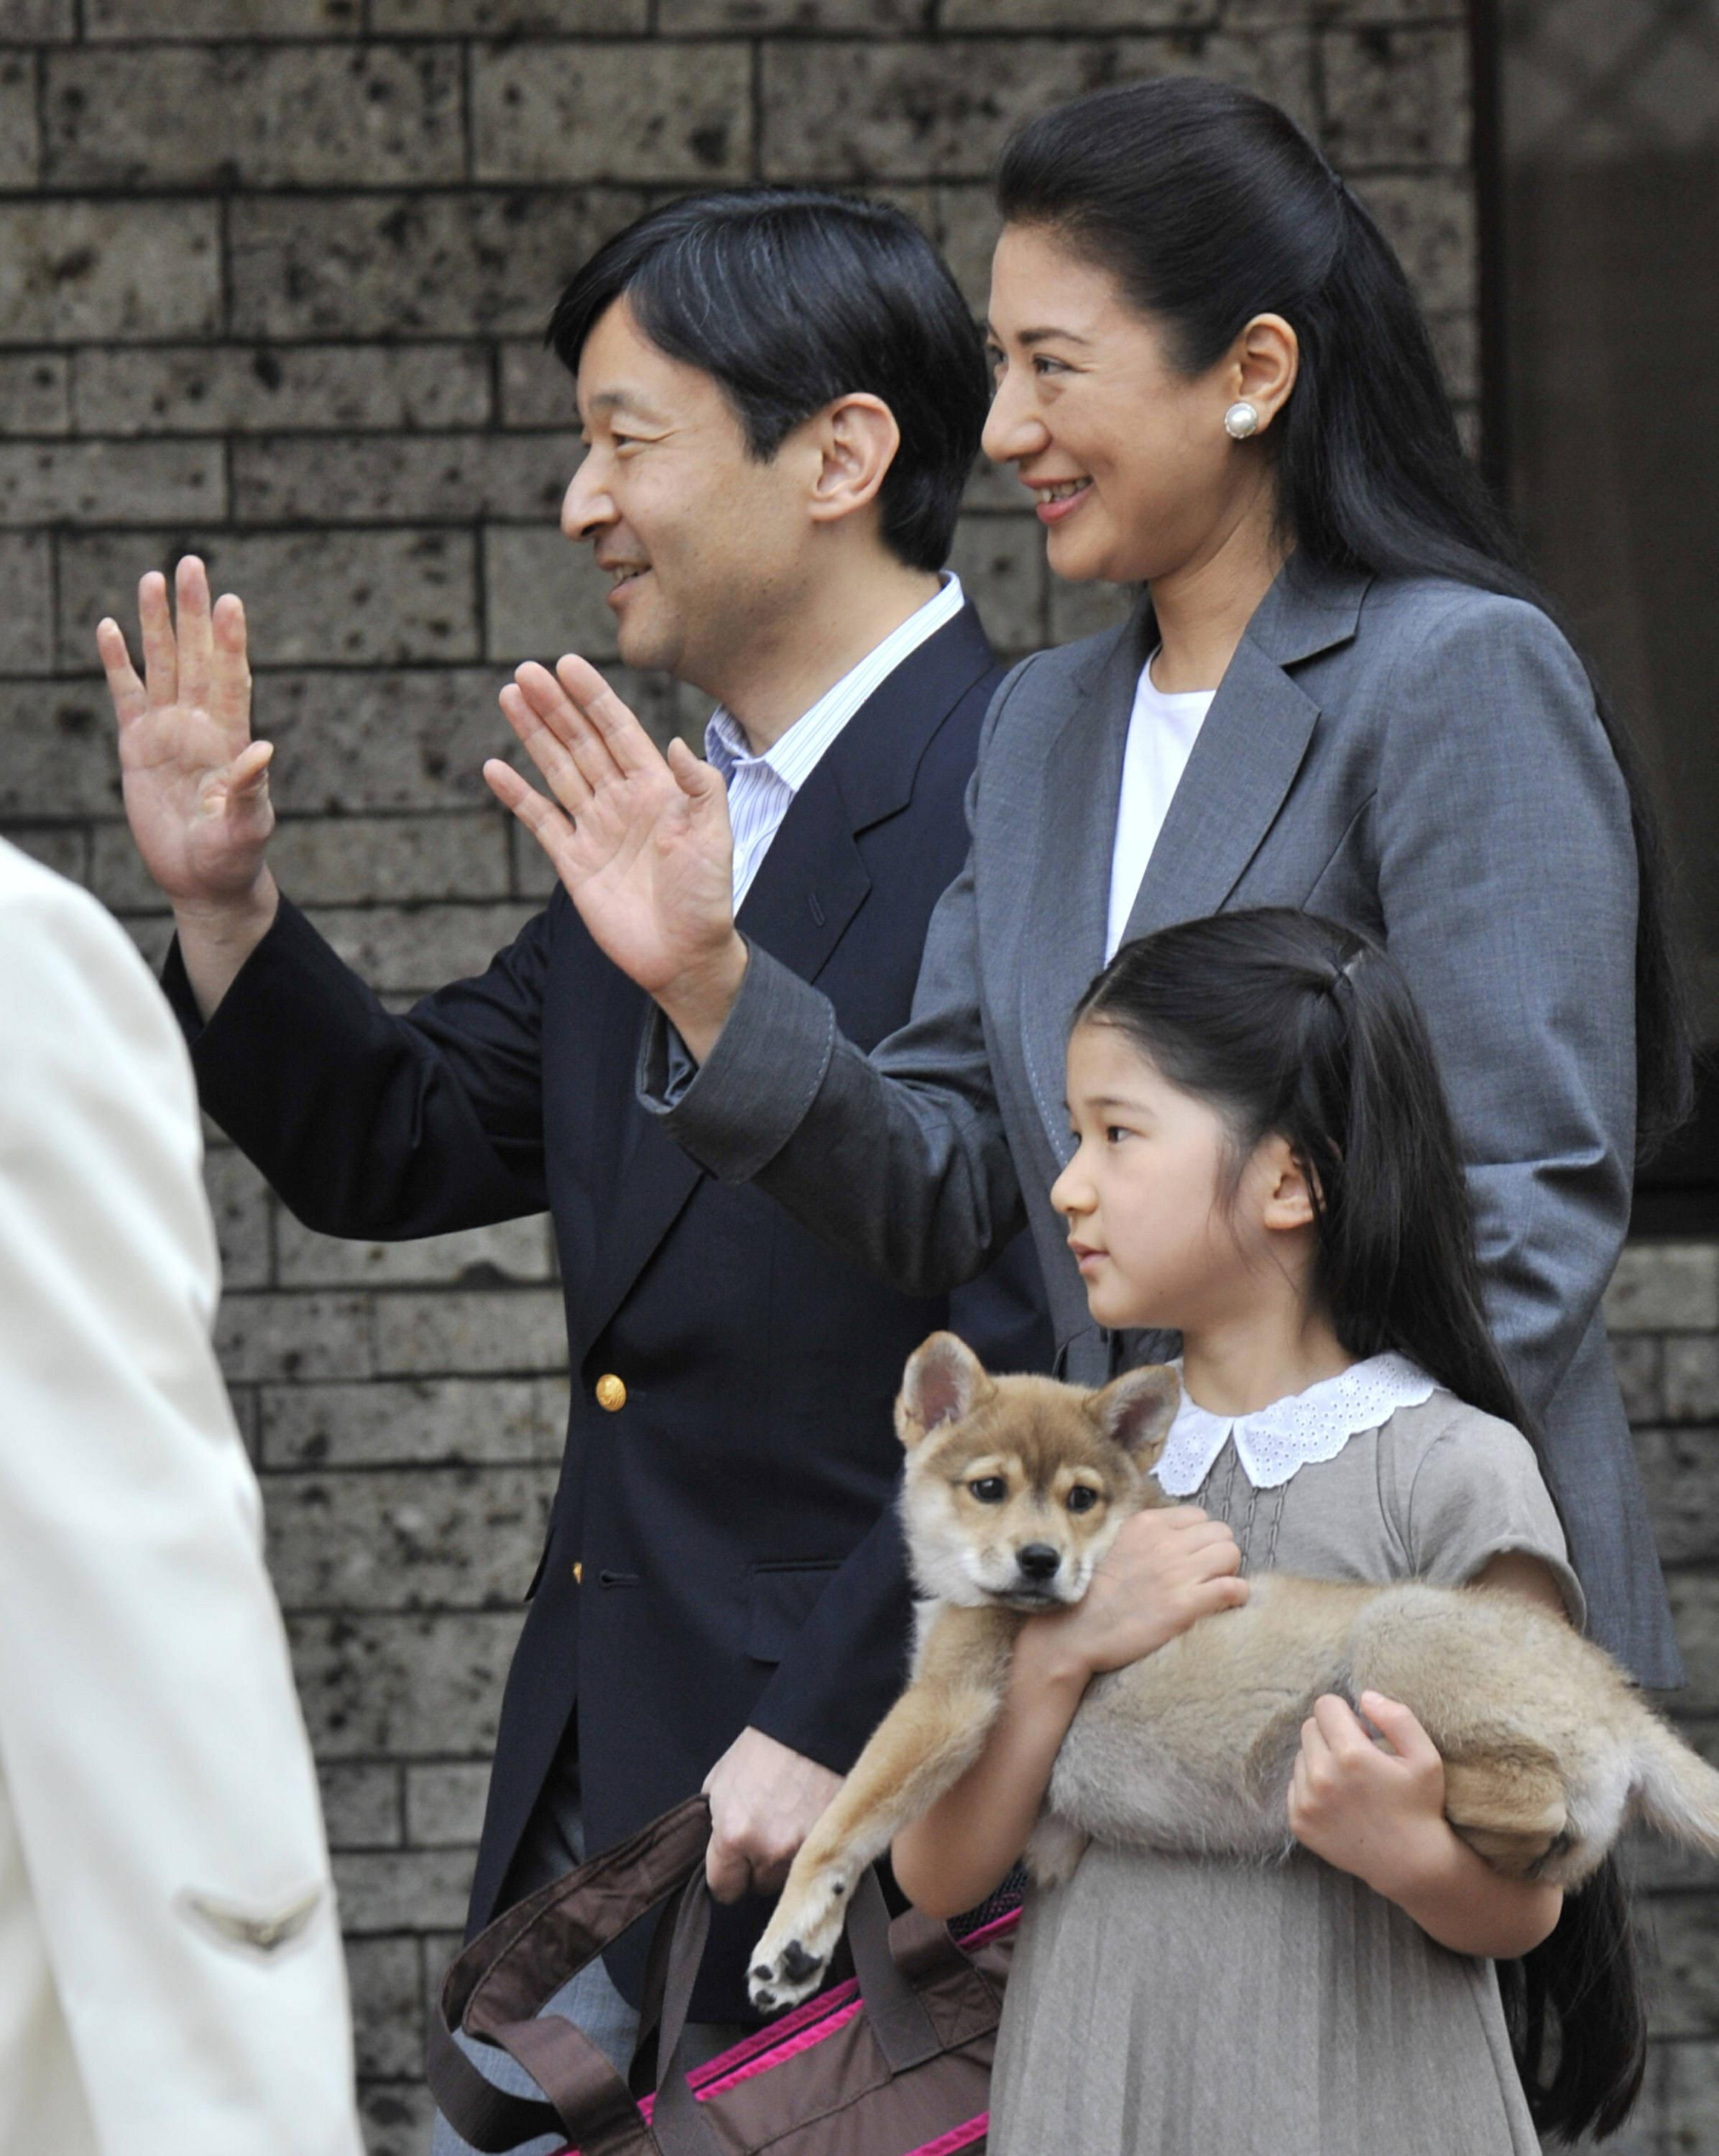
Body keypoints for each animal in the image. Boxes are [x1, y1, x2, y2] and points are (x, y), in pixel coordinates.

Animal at [746, 1337, 1716, 2009]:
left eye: (1080, 1498)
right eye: (988, 1488)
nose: (1038, 1563)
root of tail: (1615, 1692)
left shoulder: (946, 1703)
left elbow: (840, 1823)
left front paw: (790, 1943)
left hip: (1395, 1629)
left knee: (1526, 1799)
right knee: (1558, 1844)